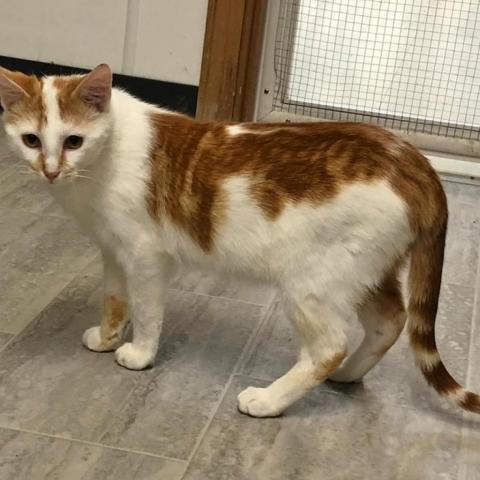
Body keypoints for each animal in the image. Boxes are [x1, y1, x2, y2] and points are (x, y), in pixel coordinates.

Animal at [1, 62, 478, 418]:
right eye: (31, 140)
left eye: (73, 141)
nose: (49, 169)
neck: (103, 162)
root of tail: (412, 157)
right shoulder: (112, 249)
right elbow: (114, 301)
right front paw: (107, 337)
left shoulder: (144, 255)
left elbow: (148, 312)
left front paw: (139, 353)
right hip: (364, 271)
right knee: (389, 322)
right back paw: (347, 374)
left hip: (312, 282)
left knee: (328, 347)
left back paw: (269, 399)